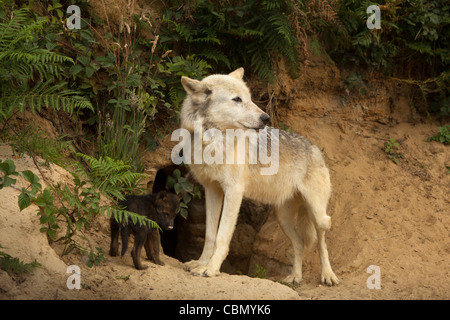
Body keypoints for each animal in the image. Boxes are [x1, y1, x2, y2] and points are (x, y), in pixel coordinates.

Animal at [178, 68, 338, 284]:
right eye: (237, 99)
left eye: (249, 98)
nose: (266, 118)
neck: (213, 141)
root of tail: (314, 148)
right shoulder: (212, 190)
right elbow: (210, 235)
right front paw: (200, 264)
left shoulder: (234, 192)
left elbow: (222, 236)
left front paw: (210, 268)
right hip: (283, 218)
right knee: (299, 243)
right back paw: (294, 277)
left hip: (317, 214)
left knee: (321, 241)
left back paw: (328, 275)